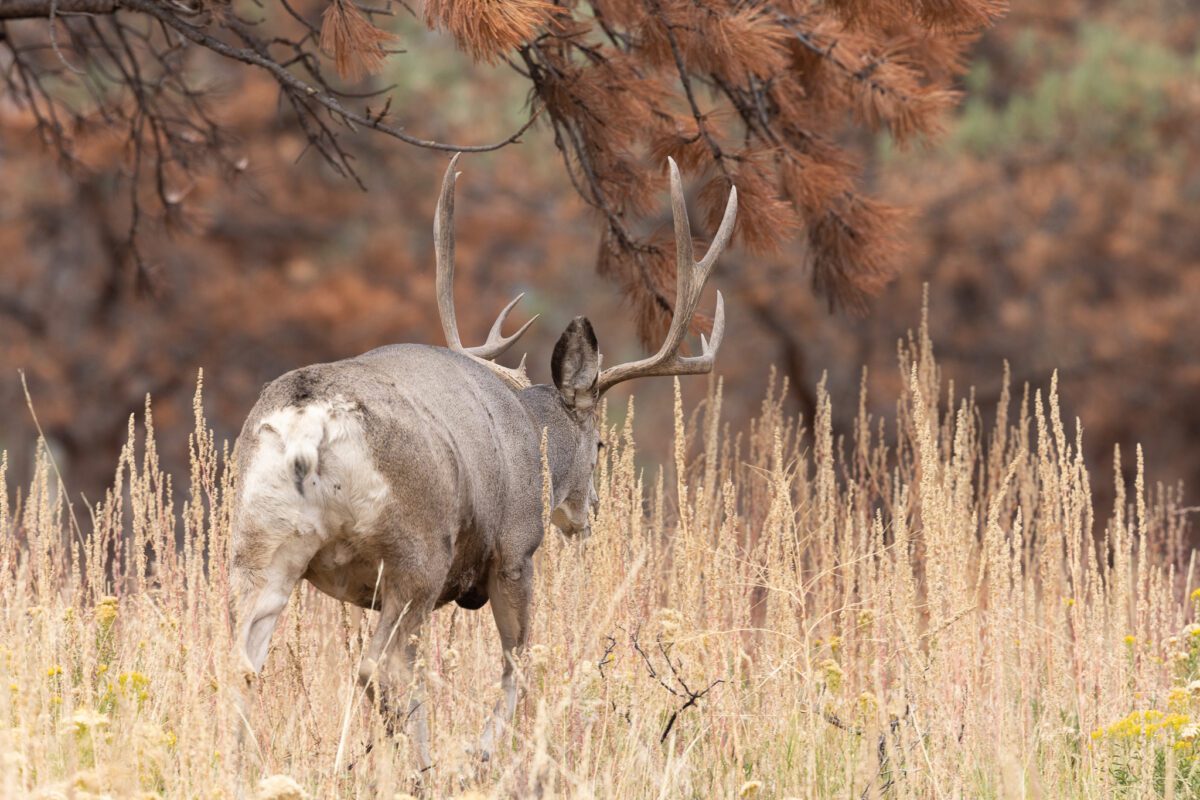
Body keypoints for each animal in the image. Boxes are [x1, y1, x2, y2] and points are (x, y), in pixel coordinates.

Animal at [224, 153, 729, 772]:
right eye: (602, 447)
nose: (589, 511)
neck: (529, 431)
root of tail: (307, 420)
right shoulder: (514, 548)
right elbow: (520, 663)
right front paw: (485, 750)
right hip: (415, 550)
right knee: (379, 666)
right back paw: (423, 768)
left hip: (260, 544)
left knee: (242, 666)